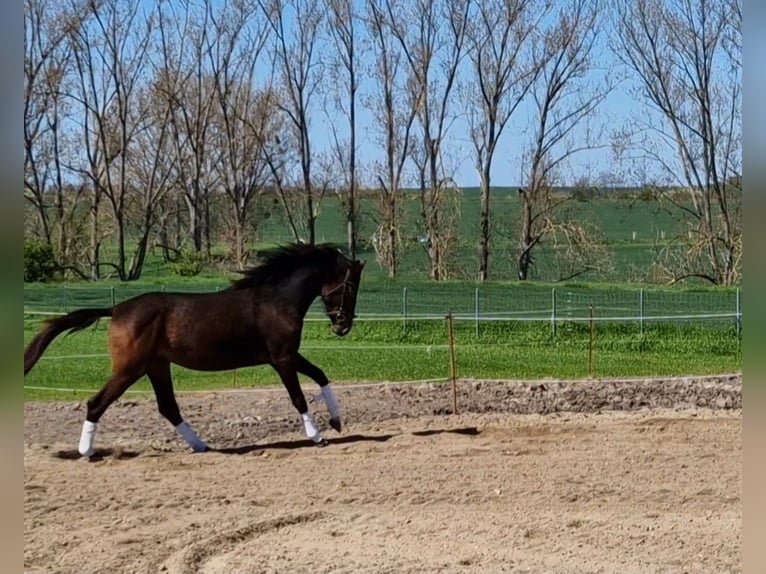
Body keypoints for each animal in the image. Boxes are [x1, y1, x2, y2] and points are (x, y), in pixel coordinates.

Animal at [24, 243, 366, 460]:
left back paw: (202, 446)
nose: (343, 327)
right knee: (96, 403)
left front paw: (336, 421)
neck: (277, 301)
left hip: (156, 367)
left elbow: (321, 375)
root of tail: (116, 308)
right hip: (129, 369)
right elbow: (298, 396)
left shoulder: (288, 356)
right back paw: (87, 452)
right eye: (351, 286)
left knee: (168, 407)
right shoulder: (281, 358)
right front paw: (317, 435)